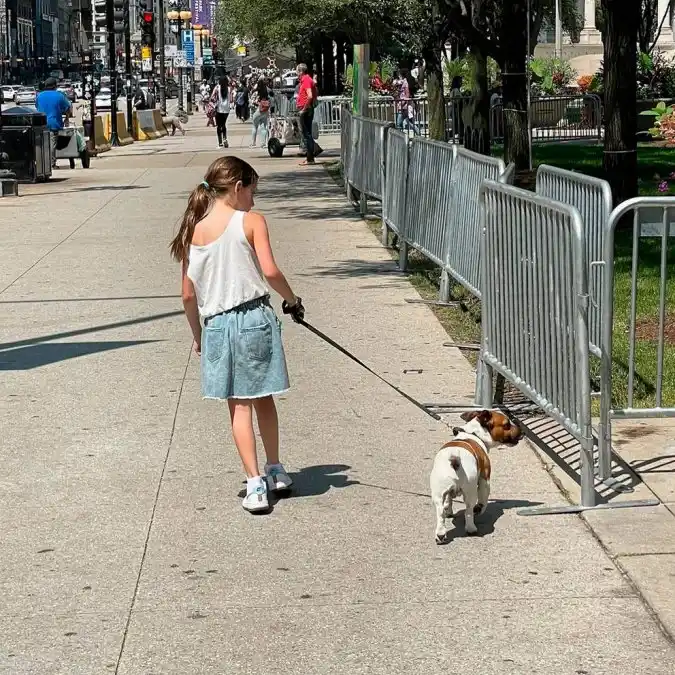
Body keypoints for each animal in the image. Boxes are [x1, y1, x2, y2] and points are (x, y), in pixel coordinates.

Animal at [430, 410, 522, 544]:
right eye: (506, 425)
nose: (520, 428)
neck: (474, 434)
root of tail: (454, 458)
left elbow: (448, 501)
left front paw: (449, 511)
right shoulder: (485, 480)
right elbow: (483, 501)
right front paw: (479, 509)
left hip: (438, 493)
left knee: (440, 513)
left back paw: (441, 534)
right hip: (470, 491)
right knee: (469, 511)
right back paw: (471, 528)